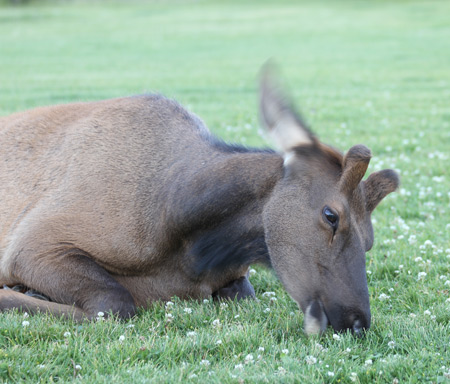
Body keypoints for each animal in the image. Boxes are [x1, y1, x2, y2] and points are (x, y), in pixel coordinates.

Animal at [0, 67, 400, 334]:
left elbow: (243, 293)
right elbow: (114, 302)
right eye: (331, 215)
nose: (358, 321)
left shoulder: (233, 278)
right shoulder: (32, 244)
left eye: (369, 241)